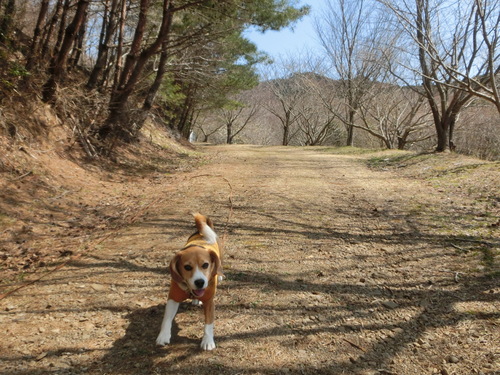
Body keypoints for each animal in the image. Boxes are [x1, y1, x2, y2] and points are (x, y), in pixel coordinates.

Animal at [156, 214, 223, 352]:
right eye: (187, 267)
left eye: (205, 265)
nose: (200, 282)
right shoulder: (173, 297)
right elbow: (166, 318)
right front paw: (163, 335)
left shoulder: (209, 301)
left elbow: (208, 324)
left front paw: (208, 341)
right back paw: (196, 301)